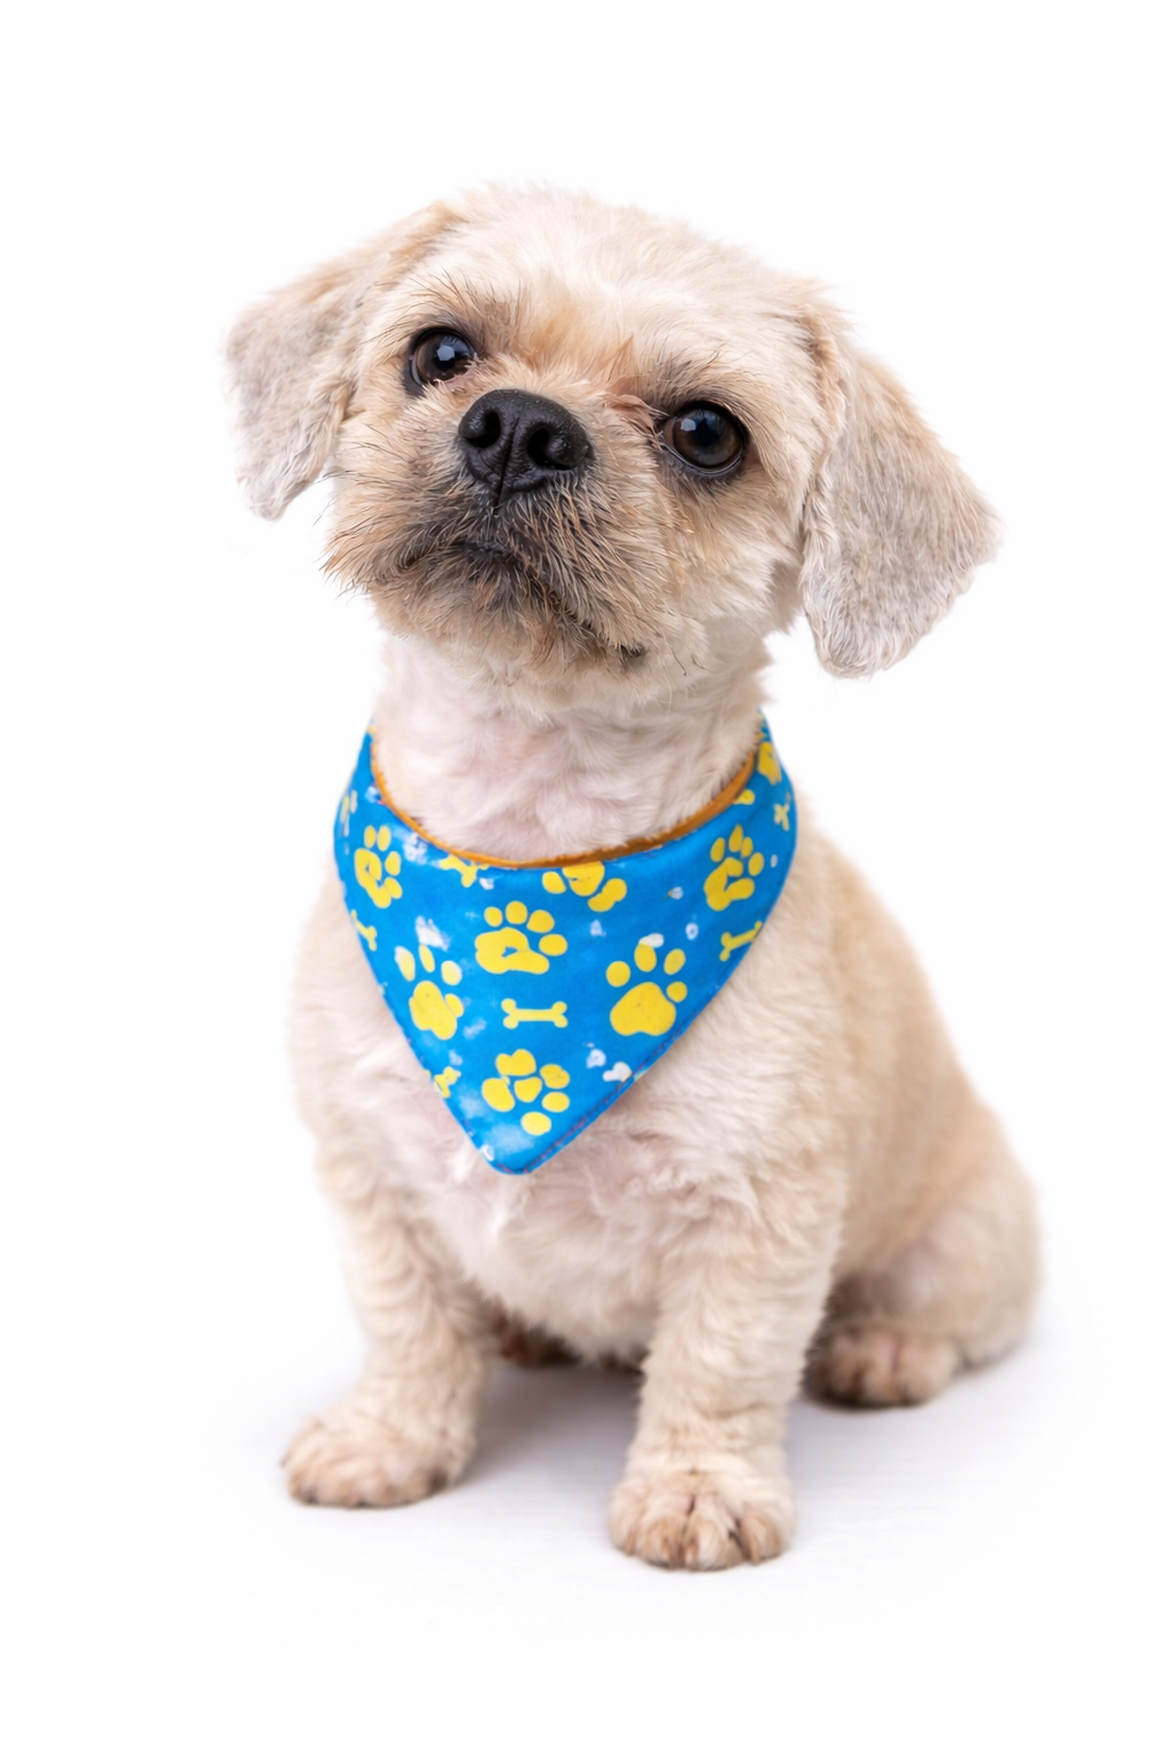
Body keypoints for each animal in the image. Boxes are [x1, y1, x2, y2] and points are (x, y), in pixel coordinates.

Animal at [226, 186, 1038, 1570]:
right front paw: (391, 1438)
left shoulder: (759, 1214)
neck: (529, 859)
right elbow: (406, 1323)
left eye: (708, 434)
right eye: (441, 353)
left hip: (972, 1229)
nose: (520, 426)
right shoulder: (371, 1172)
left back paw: (885, 1347)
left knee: (946, 1315)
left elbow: (720, 1363)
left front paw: (700, 1489)